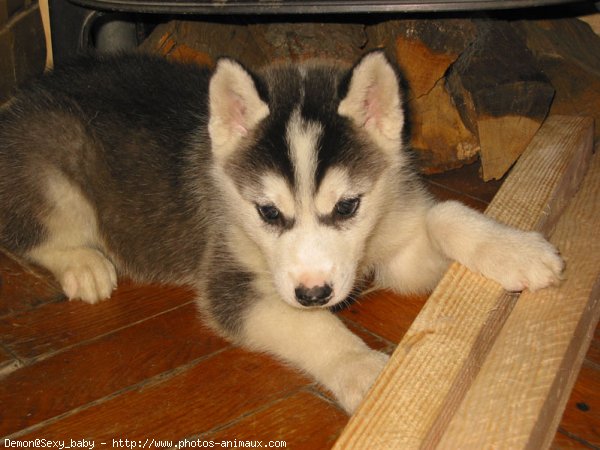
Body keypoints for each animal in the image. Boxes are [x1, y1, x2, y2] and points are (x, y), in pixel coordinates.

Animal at [0, 51, 564, 414]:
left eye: (348, 206)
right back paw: (83, 264)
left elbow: (444, 215)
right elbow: (312, 328)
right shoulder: (230, 281)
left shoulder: (395, 237)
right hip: (55, 168)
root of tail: (19, 95)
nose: (314, 293)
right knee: (26, 232)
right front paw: (364, 369)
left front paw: (515, 249)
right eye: (268, 213)